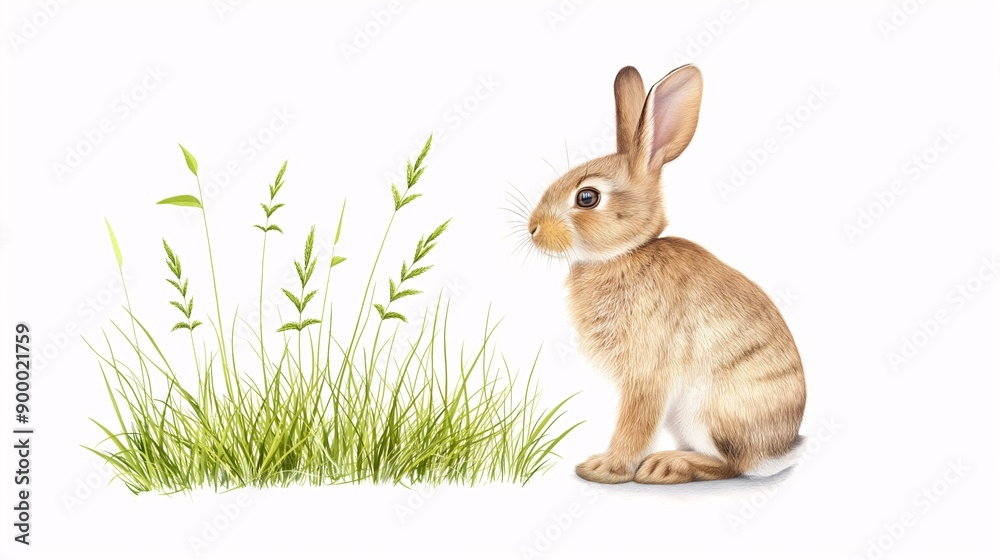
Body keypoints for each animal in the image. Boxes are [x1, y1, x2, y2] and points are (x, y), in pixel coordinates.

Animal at [526, 64, 806, 484]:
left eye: (587, 197)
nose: (533, 229)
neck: (625, 253)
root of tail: (779, 451)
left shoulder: (647, 372)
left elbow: (635, 422)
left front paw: (605, 469)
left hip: (709, 411)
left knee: (731, 465)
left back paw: (666, 466)